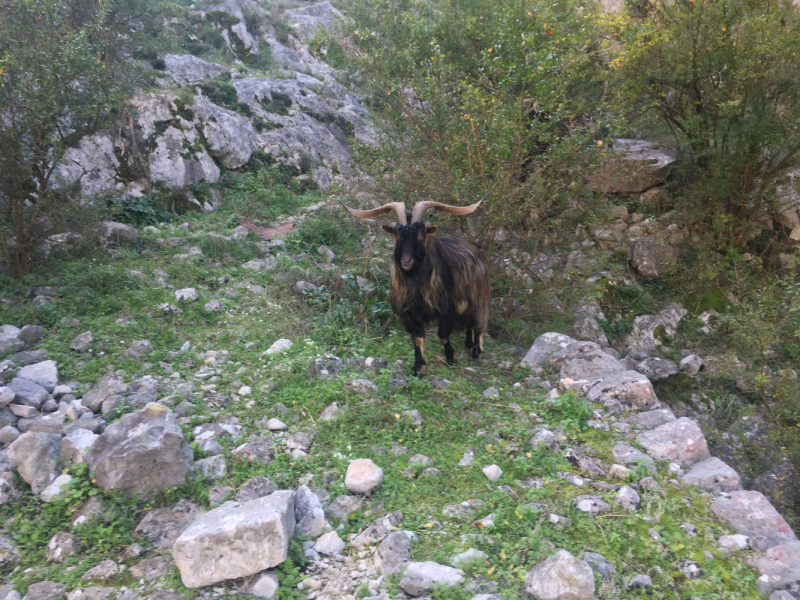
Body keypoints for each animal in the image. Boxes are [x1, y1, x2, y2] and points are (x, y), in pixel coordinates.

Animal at [340, 198, 490, 376]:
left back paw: (476, 352)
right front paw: (419, 367)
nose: (406, 261)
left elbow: (443, 335)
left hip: (478, 297)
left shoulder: (447, 309)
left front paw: (451, 358)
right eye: (397, 235)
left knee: (477, 324)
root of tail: (477, 248)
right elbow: (417, 338)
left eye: (421, 235)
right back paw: (469, 346)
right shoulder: (411, 312)